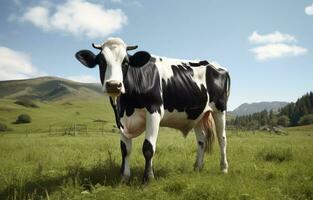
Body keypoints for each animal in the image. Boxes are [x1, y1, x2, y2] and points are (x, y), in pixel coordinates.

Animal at [73, 37, 229, 183]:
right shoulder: (120, 119)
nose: (114, 85)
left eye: (126, 62)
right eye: (101, 62)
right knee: (201, 140)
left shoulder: (154, 111)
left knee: (222, 138)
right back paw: (197, 167)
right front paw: (124, 177)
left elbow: (148, 147)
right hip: (197, 114)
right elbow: (125, 149)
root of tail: (215, 65)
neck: (126, 106)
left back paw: (224, 168)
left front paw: (148, 178)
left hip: (220, 109)